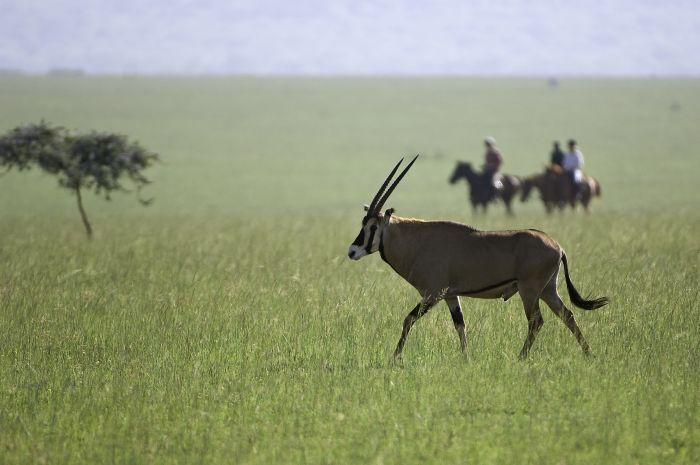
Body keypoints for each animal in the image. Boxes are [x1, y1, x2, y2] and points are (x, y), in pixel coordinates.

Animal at [348, 156, 608, 358]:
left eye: (372, 226)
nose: (352, 250)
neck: (418, 241)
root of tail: (558, 246)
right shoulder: (450, 296)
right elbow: (460, 326)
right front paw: (466, 359)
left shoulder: (433, 293)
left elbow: (408, 319)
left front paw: (395, 358)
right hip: (547, 290)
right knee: (568, 315)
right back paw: (589, 354)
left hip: (530, 290)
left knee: (536, 321)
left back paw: (521, 357)